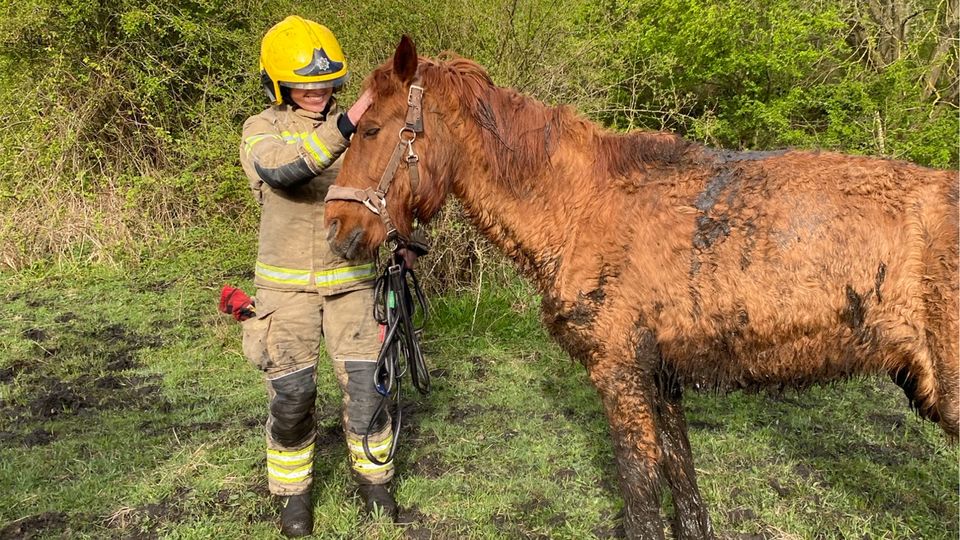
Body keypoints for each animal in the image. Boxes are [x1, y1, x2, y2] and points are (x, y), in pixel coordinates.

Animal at [324, 36, 959, 539]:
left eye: (372, 129)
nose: (337, 230)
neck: (581, 205)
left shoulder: (619, 371)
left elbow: (641, 496)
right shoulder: (662, 376)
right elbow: (683, 485)